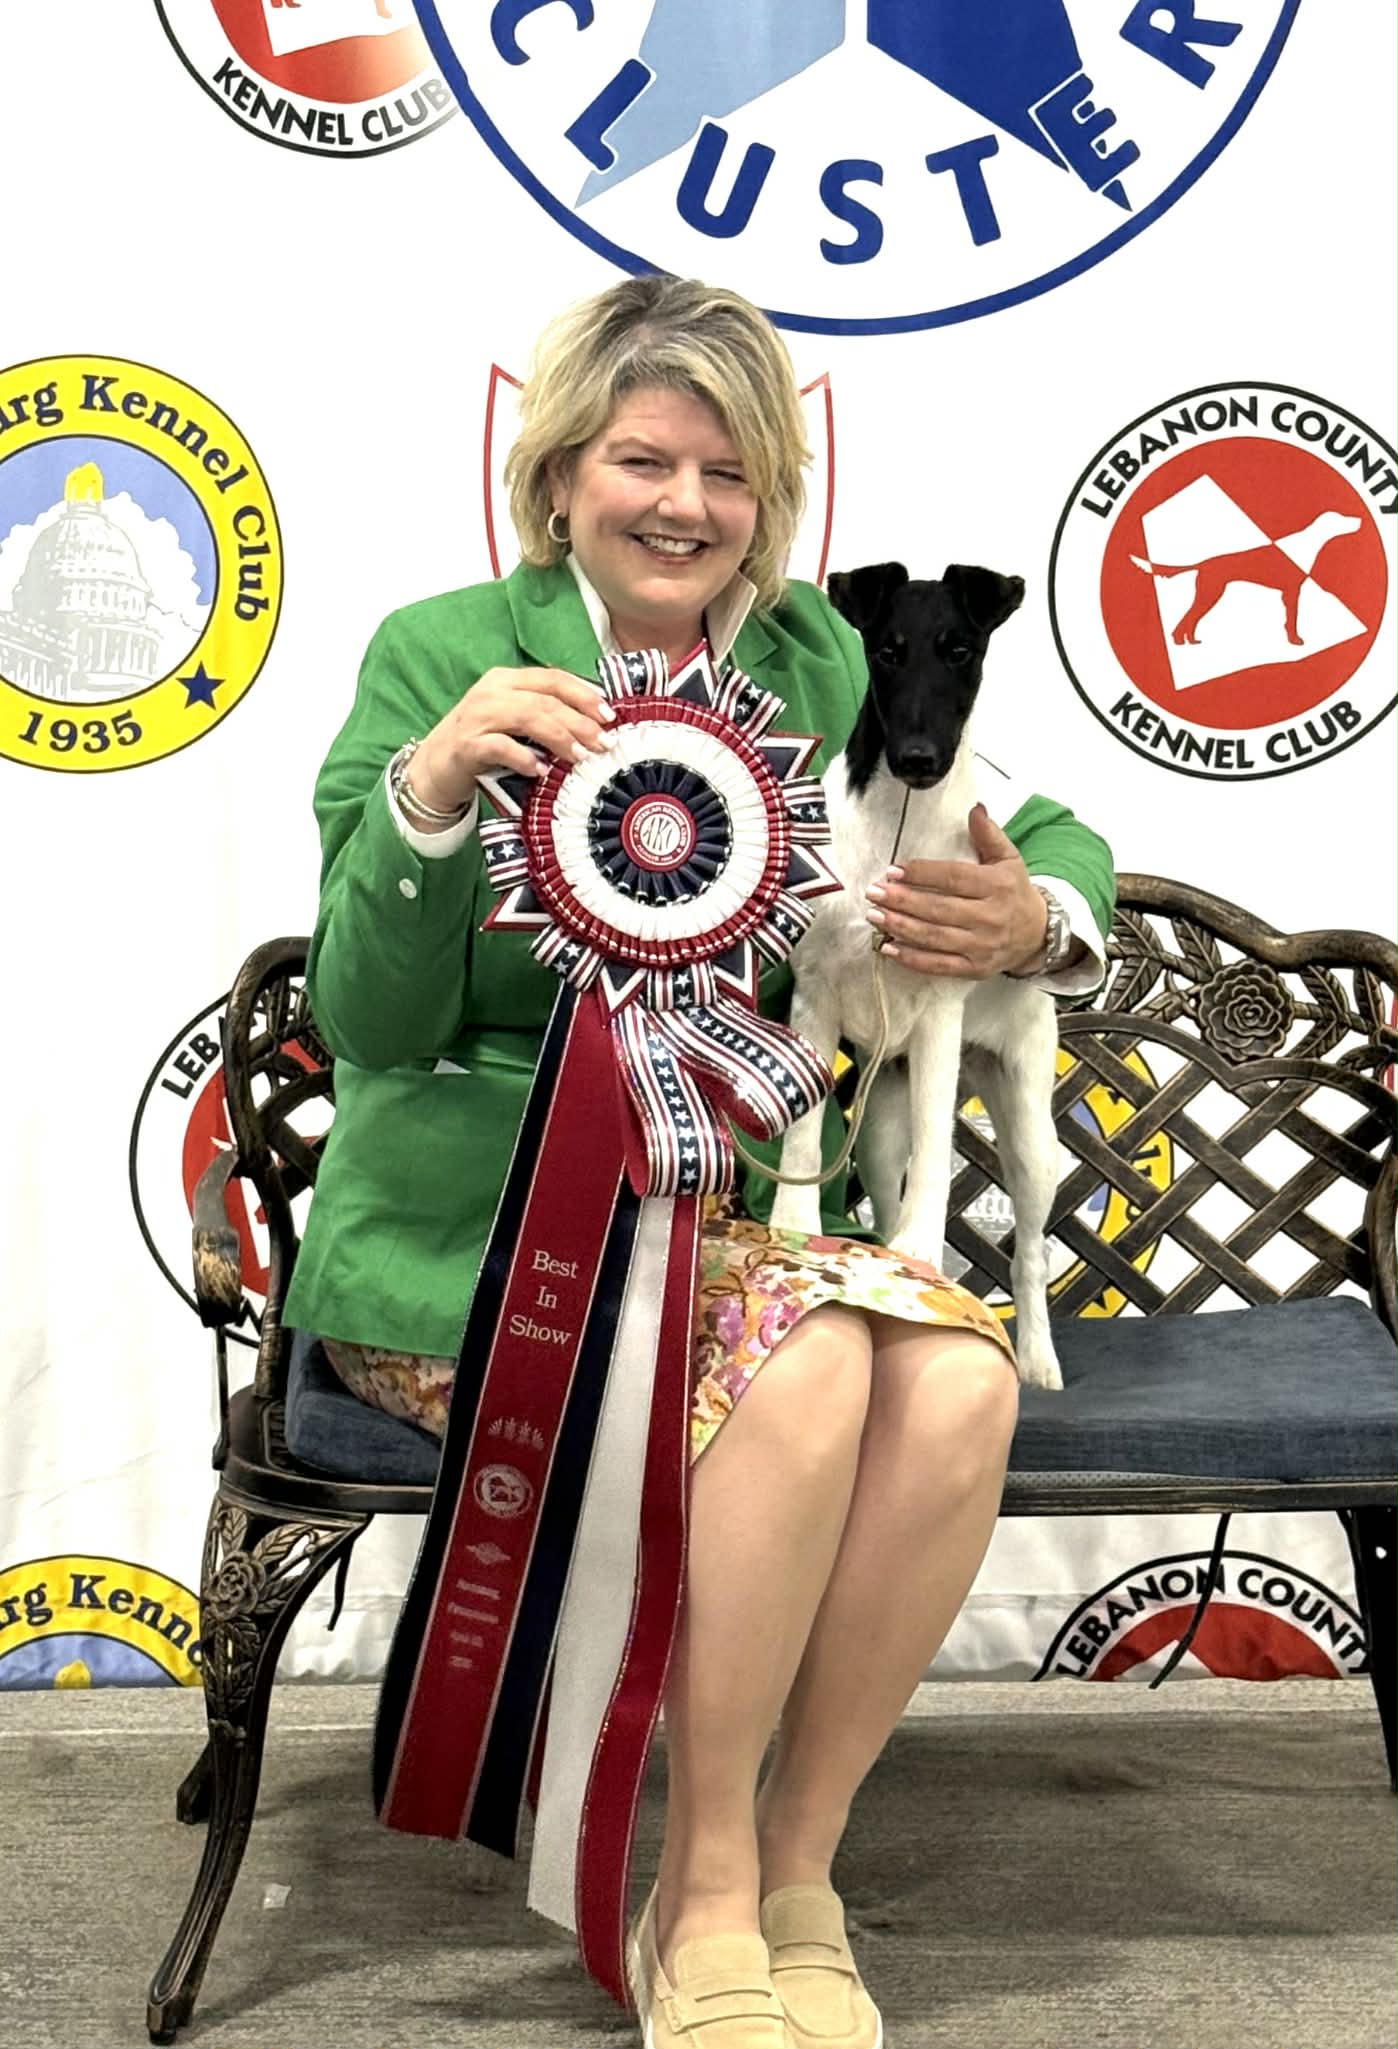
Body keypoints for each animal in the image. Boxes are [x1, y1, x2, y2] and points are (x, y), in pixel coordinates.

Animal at [769, 561, 1064, 1391]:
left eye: (960, 649)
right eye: (887, 650)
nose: (920, 759)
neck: (896, 832)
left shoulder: (938, 1017)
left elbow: (937, 1154)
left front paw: (922, 1255)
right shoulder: (814, 999)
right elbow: (801, 1140)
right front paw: (793, 1229)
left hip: (1027, 1121)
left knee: (1031, 1255)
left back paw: (1038, 1359)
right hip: (879, 1116)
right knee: (884, 1179)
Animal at [1131, 510, 1362, 647]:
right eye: (1341, 517)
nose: (1360, 519)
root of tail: (1203, 563)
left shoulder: (1288, 593)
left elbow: (1289, 620)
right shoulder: (1292, 591)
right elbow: (1293, 619)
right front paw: (1295, 640)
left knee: (1191, 619)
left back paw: (1192, 641)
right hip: (1210, 593)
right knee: (1187, 618)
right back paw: (1180, 641)